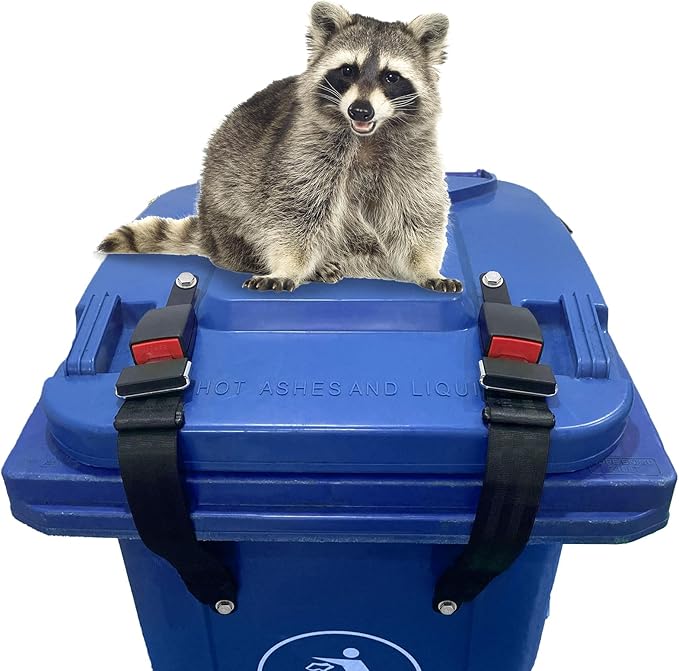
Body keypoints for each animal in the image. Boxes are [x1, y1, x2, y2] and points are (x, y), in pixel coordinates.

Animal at [99, 2, 462, 294]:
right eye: (348, 70)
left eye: (391, 77)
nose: (360, 111)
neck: (365, 137)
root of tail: (210, 230)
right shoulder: (303, 149)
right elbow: (295, 212)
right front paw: (290, 266)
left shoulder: (413, 154)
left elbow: (415, 212)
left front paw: (425, 267)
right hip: (227, 213)